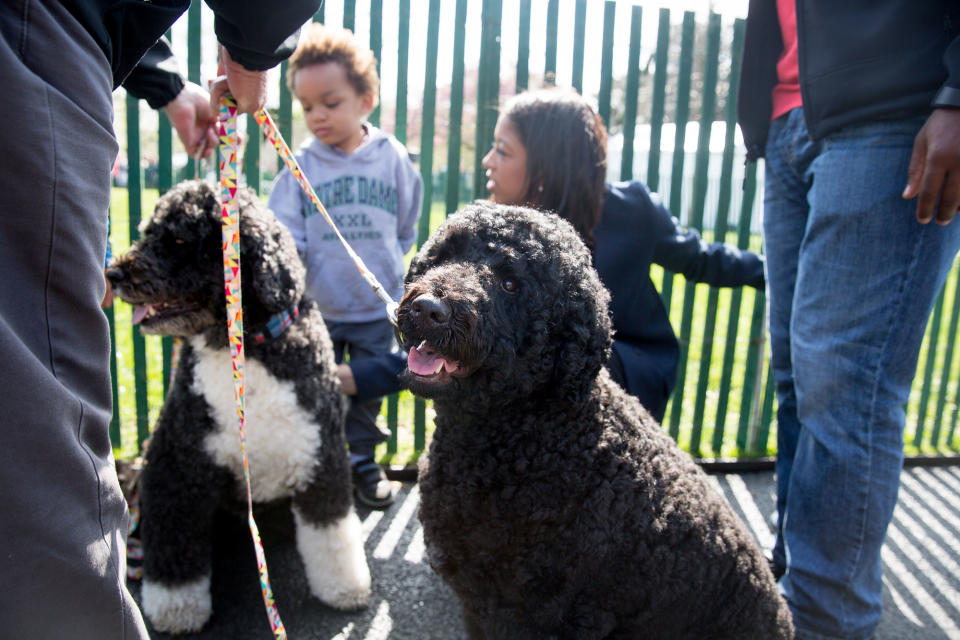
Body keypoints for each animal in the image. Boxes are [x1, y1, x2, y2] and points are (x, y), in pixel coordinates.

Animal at [109, 180, 372, 636]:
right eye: (147, 232)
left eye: (180, 239)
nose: (114, 273)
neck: (242, 349)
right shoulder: (174, 466)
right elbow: (175, 549)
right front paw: (177, 609)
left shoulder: (321, 456)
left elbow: (332, 532)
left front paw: (343, 588)